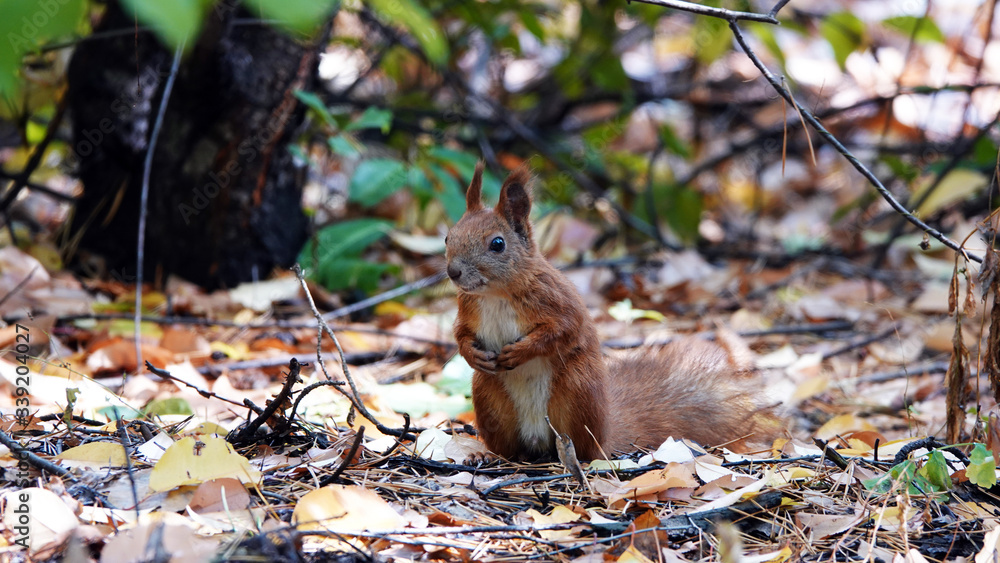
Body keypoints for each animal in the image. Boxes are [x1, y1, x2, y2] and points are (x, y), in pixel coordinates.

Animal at [445, 162, 778, 461]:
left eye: (497, 244)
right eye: (449, 236)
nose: (453, 272)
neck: (495, 294)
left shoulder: (557, 301)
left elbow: (562, 330)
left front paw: (521, 351)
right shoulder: (468, 308)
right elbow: (461, 333)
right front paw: (472, 354)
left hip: (578, 391)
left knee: (587, 449)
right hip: (489, 398)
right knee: (509, 449)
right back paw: (489, 456)